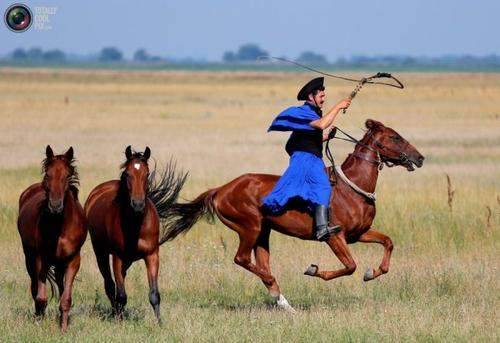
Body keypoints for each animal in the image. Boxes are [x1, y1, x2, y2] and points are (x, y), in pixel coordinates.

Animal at [17, 146, 87, 332]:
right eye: (48, 174)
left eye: (67, 176)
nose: (55, 206)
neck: (60, 227)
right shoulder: (41, 258)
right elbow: (41, 296)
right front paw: (39, 323)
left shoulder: (73, 260)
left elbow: (66, 299)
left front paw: (63, 329)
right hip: (29, 256)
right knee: (34, 287)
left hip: (61, 263)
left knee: (61, 287)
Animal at [84, 146, 186, 324]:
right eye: (127, 174)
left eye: (147, 173)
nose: (137, 205)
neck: (136, 224)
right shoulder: (117, 256)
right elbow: (121, 294)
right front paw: (119, 321)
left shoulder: (152, 255)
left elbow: (154, 294)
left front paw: (159, 323)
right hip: (101, 253)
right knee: (110, 285)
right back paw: (115, 313)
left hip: (128, 260)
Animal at [163, 120, 426, 312]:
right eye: (395, 137)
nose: (420, 158)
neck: (352, 187)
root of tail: (220, 190)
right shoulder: (333, 236)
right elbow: (350, 266)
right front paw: (314, 270)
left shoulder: (358, 234)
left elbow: (388, 243)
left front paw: (372, 273)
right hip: (250, 228)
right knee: (242, 259)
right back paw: (275, 287)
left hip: (263, 233)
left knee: (260, 263)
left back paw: (282, 301)